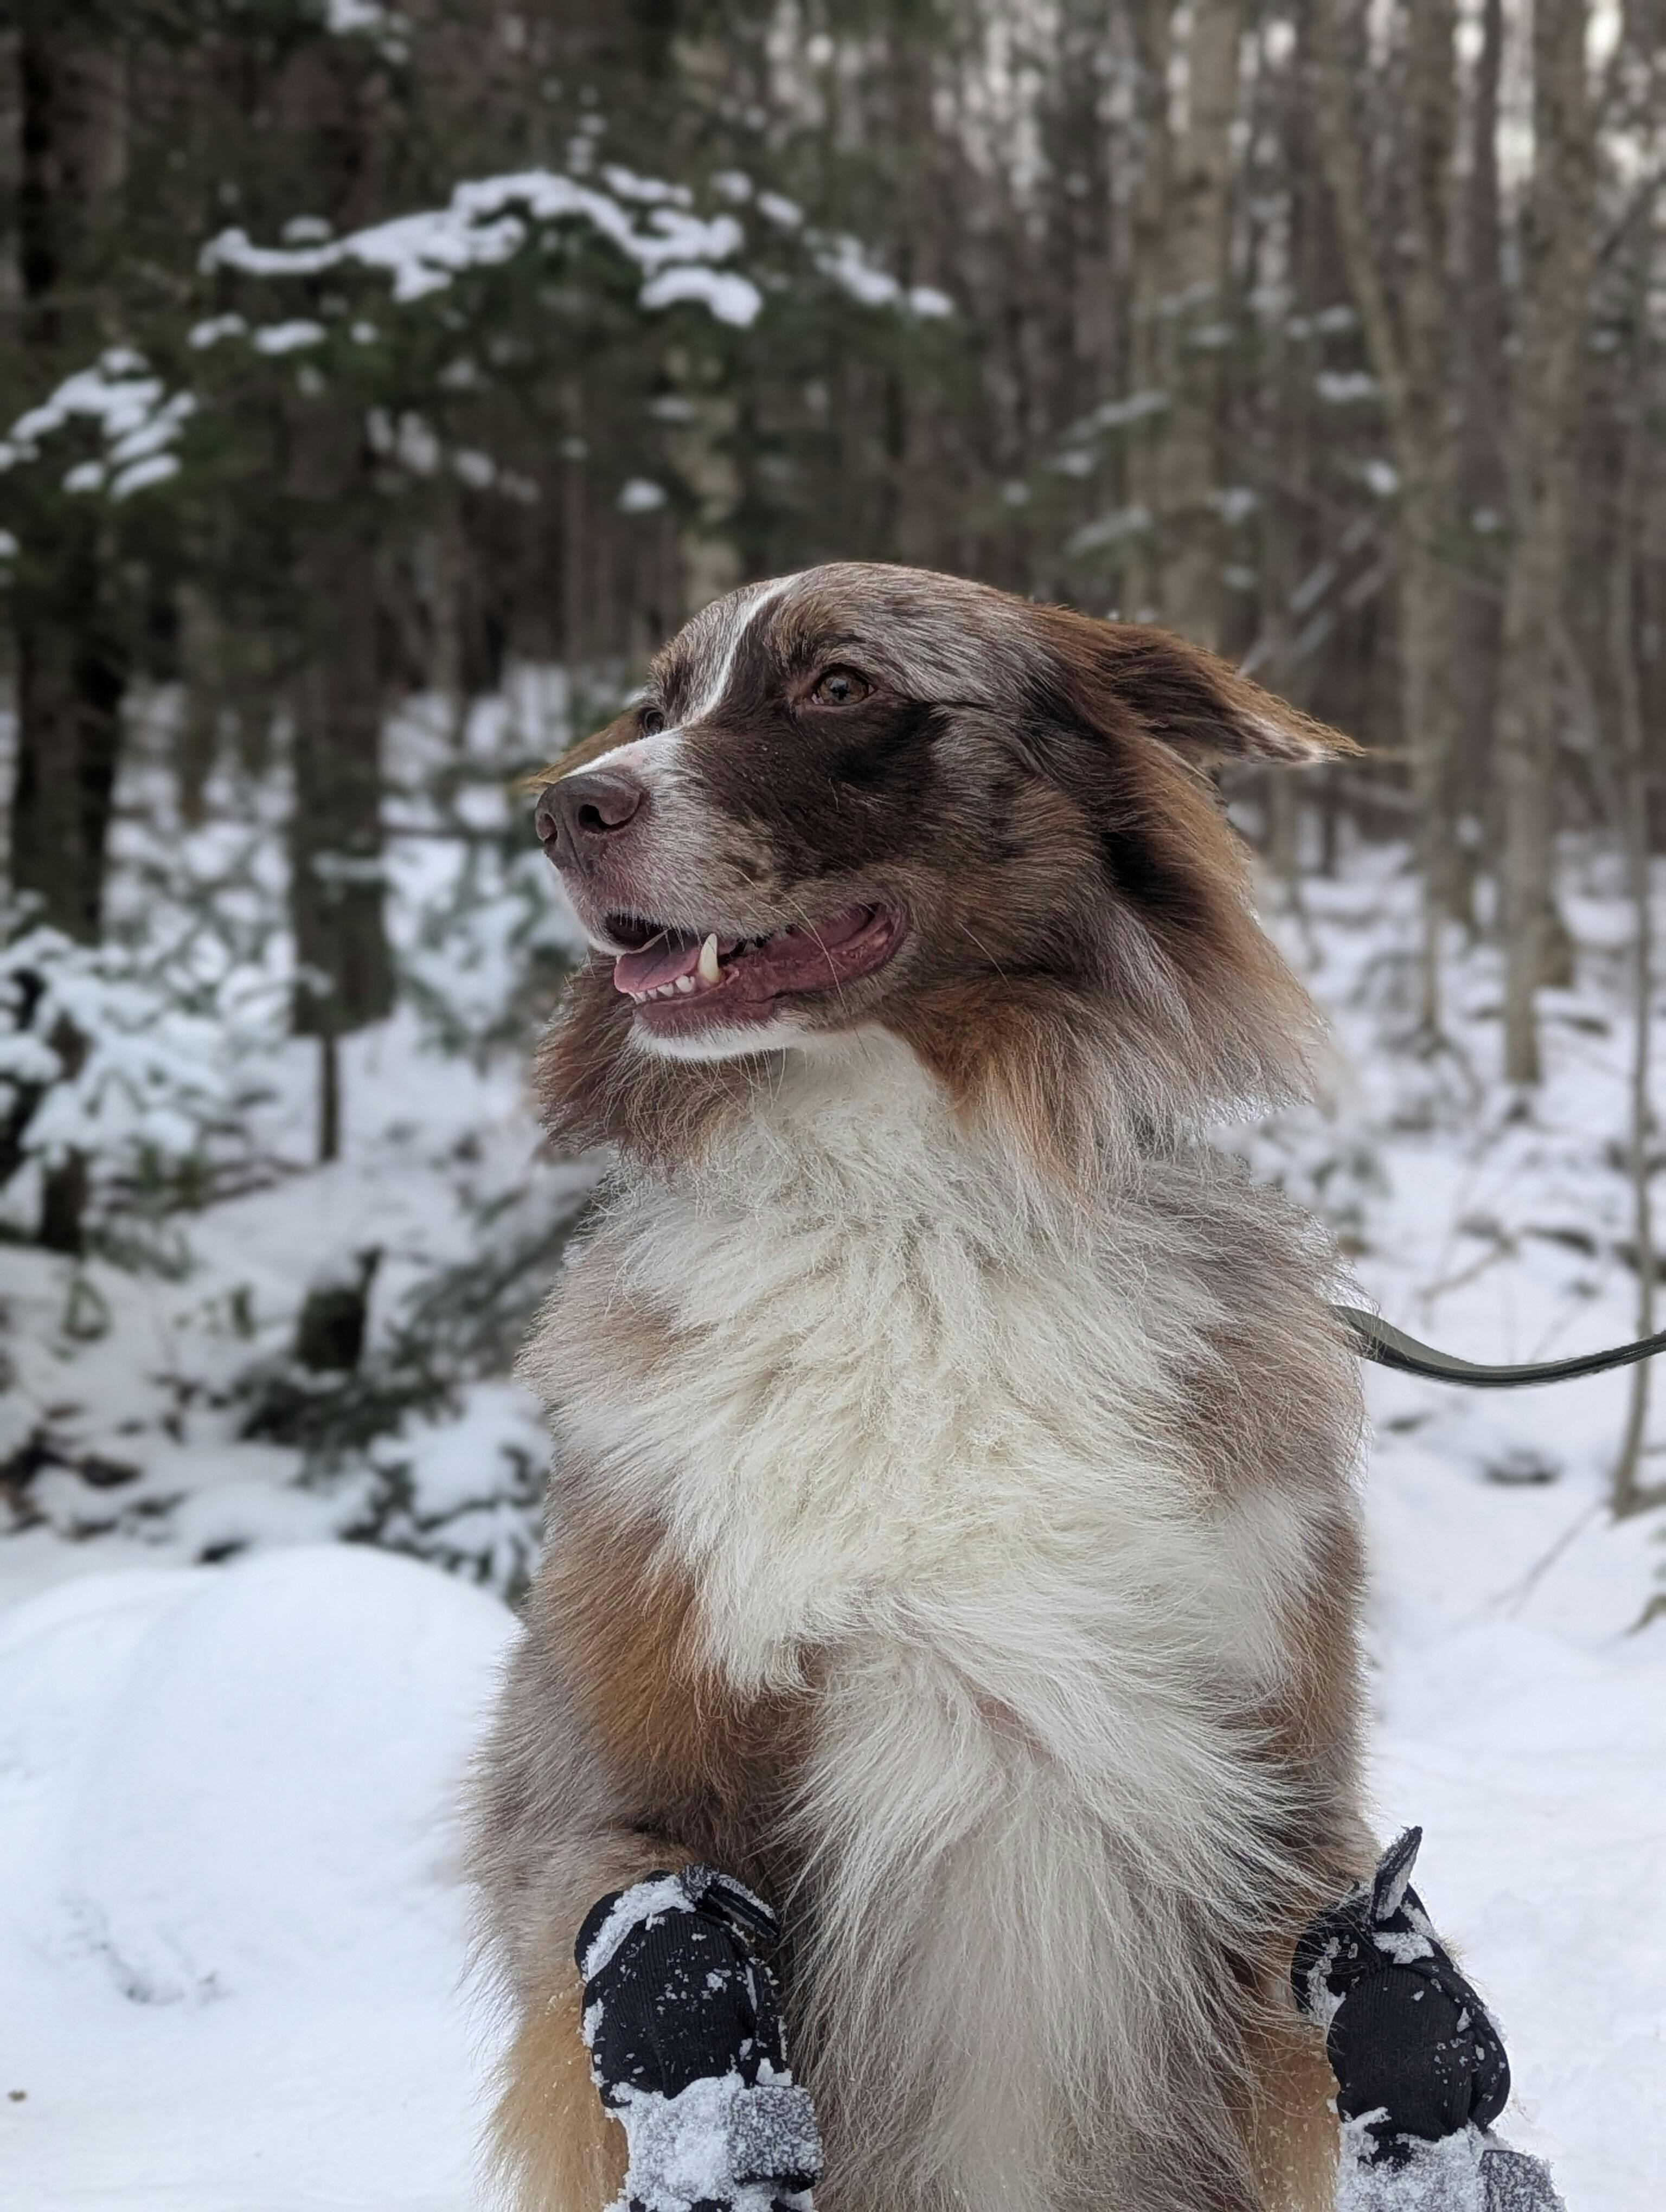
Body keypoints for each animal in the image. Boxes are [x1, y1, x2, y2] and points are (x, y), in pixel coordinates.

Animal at [472, 563, 1371, 2212]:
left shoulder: (1287, 1793)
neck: (904, 1220)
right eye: (650, 704)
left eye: (839, 686)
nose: (567, 807)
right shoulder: (607, 1780)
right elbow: (631, 1917)